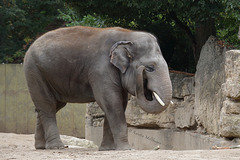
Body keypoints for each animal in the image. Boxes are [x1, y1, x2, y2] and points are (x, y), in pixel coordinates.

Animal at [23, 25, 172, 151]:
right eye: (150, 68)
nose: (142, 71)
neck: (127, 35)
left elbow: (119, 103)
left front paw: (107, 149)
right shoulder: (101, 69)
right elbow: (110, 101)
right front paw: (126, 149)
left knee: (51, 106)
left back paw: (41, 147)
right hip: (34, 71)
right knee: (47, 104)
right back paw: (57, 147)